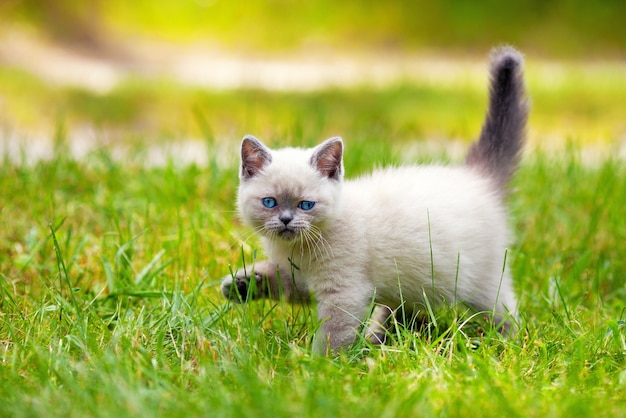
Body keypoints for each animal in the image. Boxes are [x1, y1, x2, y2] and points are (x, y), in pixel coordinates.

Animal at [219, 46, 528, 352]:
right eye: (269, 202)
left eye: (305, 205)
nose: (285, 220)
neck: (297, 251)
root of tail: (477, 176)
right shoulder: (299, 277)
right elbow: (281, 283)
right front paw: (242, 284)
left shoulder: (343, 291)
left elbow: (332, 334)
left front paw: (319, 362)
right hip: (413, 282)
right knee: (401, 313)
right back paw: (379, 342)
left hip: (482, 282)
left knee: (505, 313)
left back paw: (507, 345)